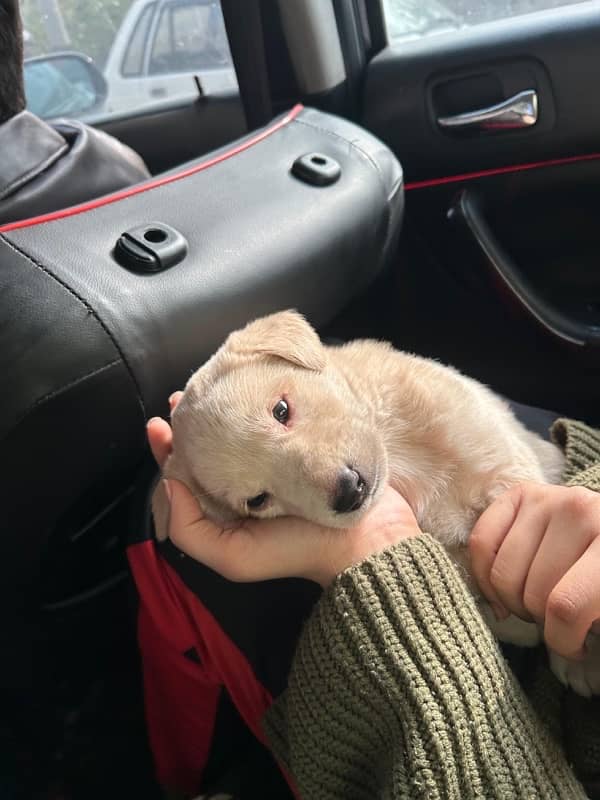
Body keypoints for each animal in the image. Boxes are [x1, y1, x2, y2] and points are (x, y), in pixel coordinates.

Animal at [154, 306, 600, 692]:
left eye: (281, 410)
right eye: (258, 500)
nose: (349, 491)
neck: (396, 450)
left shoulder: (500, 456)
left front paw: (576, 654)